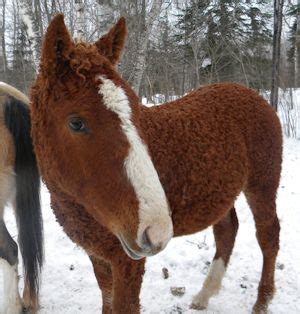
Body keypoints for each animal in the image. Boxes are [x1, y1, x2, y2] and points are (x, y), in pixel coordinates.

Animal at [31, 14, 282, 314]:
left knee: (268, 234)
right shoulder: (99, 255)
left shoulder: (126, 262)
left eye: (136, 109)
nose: (157, 231)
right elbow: (107, 298)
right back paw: (205, 294)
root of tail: (252, 94)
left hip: (262, 183)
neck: (78, 205)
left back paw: (262, 300)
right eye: (76, 122)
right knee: (227, 230)